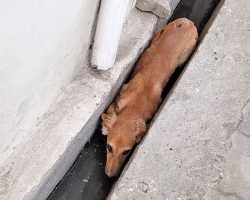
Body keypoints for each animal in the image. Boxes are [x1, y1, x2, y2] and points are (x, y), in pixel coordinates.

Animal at [101, 17, 197, 177]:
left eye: (126, 152)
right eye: (109, 147)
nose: (110, 175)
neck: (134, 107)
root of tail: (187, 22)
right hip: (157, 35)